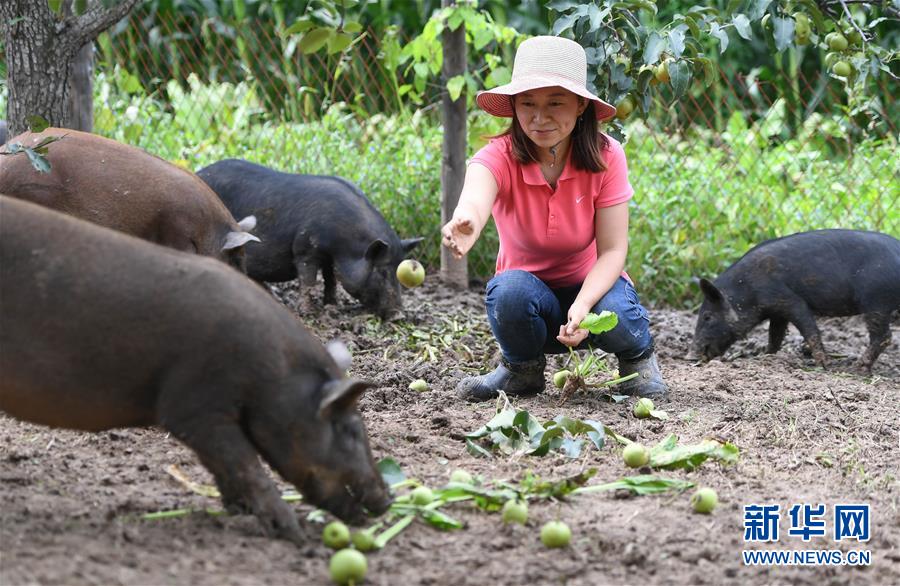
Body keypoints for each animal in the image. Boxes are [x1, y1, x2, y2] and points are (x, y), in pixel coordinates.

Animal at [0, 197, 394, 544]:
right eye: (350, 430)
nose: (388, 500)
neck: (272, 376)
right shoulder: (195, 408)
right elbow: (245, 466)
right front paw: (294, 535)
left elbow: (224, 469)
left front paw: (238, 512)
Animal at [197, 157, 422, 318]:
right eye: (382, 271)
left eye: (398, 270)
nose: (399, 316)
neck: (344, 245)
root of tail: (199, 171)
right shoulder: (306, 248)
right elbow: (308, 280)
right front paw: (308, 313)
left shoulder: (329, 257)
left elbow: (331, 278)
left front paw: (332, 306)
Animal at [692, 228, 896, 370]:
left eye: (707, 316)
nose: (690, 356)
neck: (747, 289)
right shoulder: (777, 312)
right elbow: (775, 336)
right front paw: (765, 356)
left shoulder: (789, 299)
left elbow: (809, 329)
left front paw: (824, 365)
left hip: (876, 301)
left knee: (884, 336)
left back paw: (857, 368)